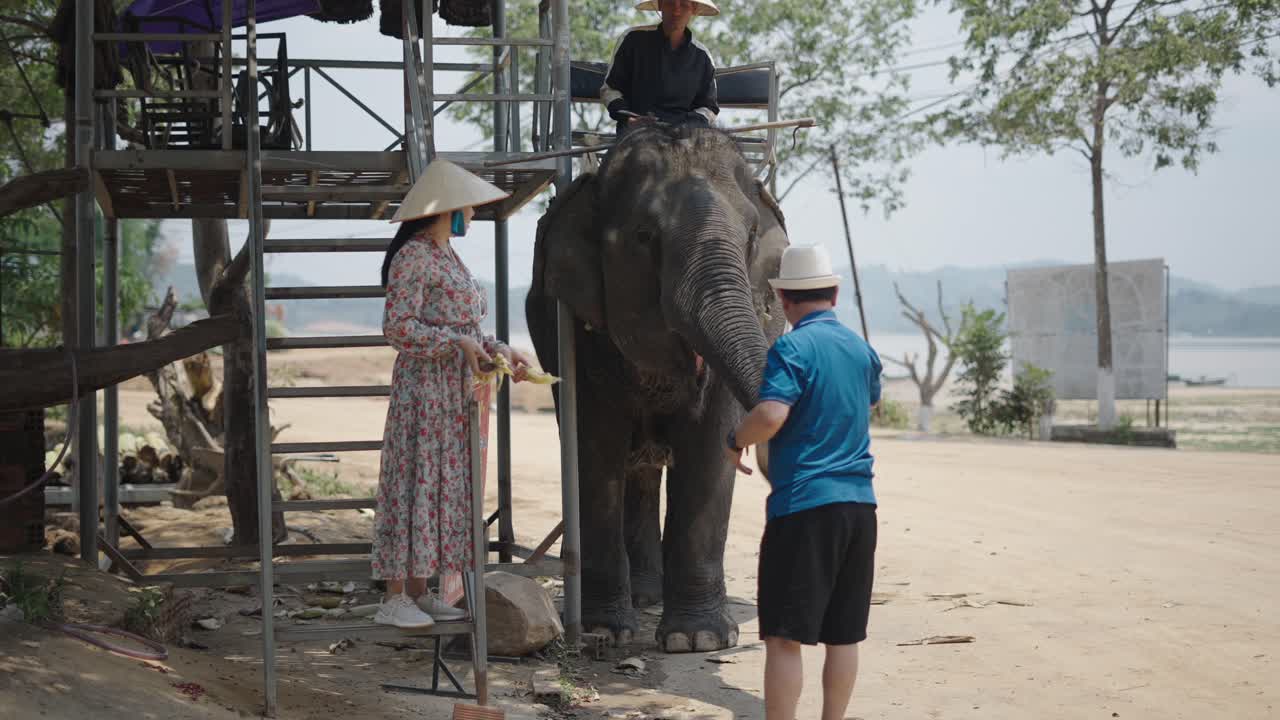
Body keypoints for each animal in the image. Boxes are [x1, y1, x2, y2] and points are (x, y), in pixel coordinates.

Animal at [526, 124, 790, 653]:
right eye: (645, 237)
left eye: (751, 237)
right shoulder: (574, 329)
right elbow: (594, 448)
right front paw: (604, 632)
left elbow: (710, 448)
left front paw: (698, 641)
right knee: (635, 470)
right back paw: (645, 597)